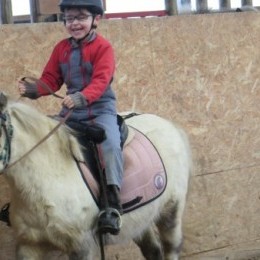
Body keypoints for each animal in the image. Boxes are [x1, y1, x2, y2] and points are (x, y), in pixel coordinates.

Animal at [0, 93, 191, 260]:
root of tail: (169, 125)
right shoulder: (29, 244)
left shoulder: (81, 247)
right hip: (141, 219)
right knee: (153, 250)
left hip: (171, 211)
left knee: (171, 247)